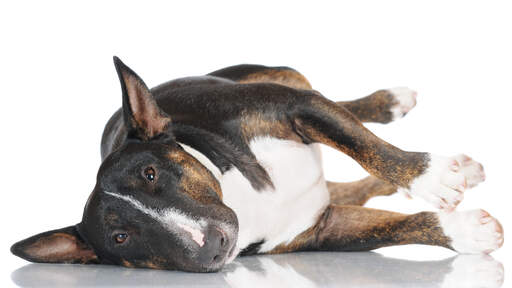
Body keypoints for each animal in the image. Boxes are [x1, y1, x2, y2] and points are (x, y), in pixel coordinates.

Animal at [9, 57, 504, 272]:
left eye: (150, 174)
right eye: (120, 237)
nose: (212, 244)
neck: (242, 198)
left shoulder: (293, 109)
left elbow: (365, 144)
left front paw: (429, 178)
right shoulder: (322, 230)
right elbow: (397, 226)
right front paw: (466, 230)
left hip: (276, 79)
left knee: (336, 103)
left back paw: (392, 103)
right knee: (346, 187)